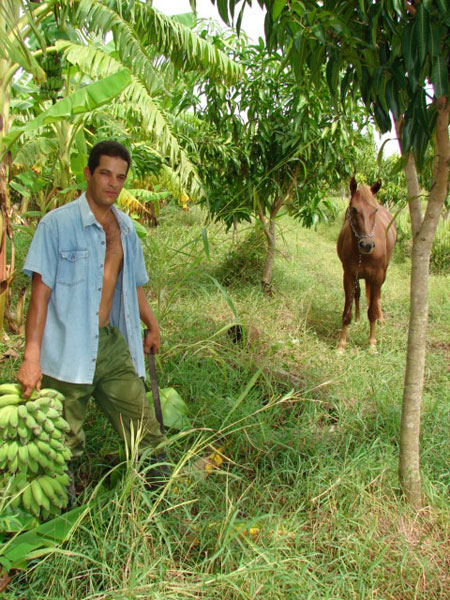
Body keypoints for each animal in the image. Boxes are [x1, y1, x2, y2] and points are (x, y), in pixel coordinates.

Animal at [336, 176, 396, 352]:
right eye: (354, 209)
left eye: (374, 210)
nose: (367, 245)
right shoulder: (349, 275)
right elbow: (347, 311)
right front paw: (341, 344)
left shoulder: (377, 276)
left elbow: (372, 312)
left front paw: (372, 344)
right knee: (359, 293)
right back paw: (357, 318)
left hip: (382, 274)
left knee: (377, 297)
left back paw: (381, 319)